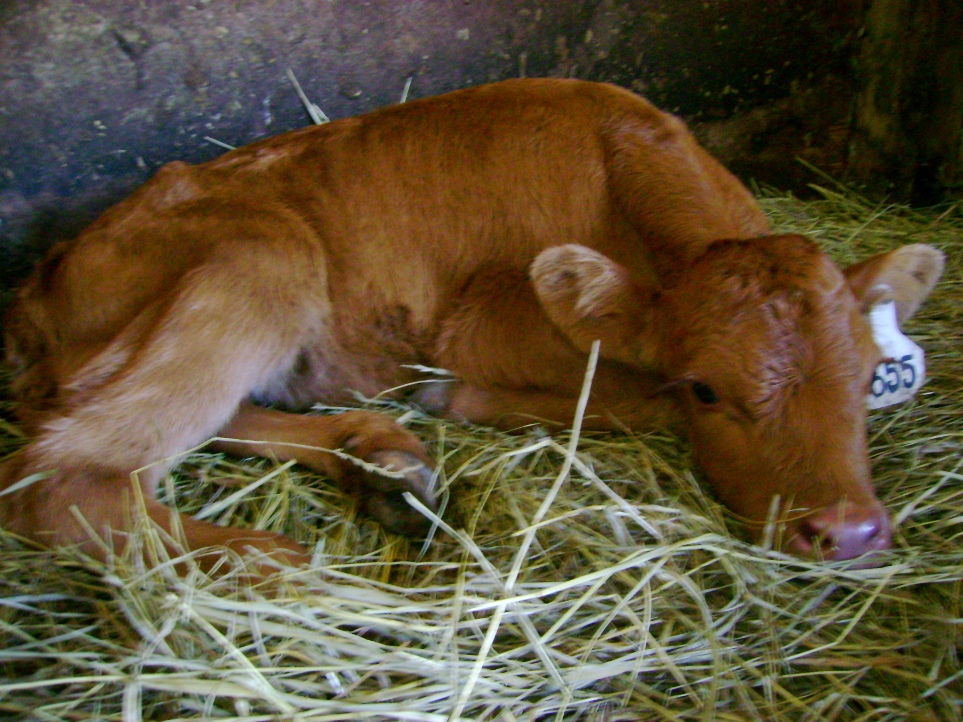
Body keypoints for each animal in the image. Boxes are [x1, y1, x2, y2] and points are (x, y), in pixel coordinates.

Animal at [0, 79, 944, 568]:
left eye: (868, 375)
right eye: (707, 389)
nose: (846, 532)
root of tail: (47, 273)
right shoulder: (484, 327)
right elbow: (640, 398)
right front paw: (457, 400)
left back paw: (380, 464)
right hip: (264, 258)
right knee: (60, 479)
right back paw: (281, 563)